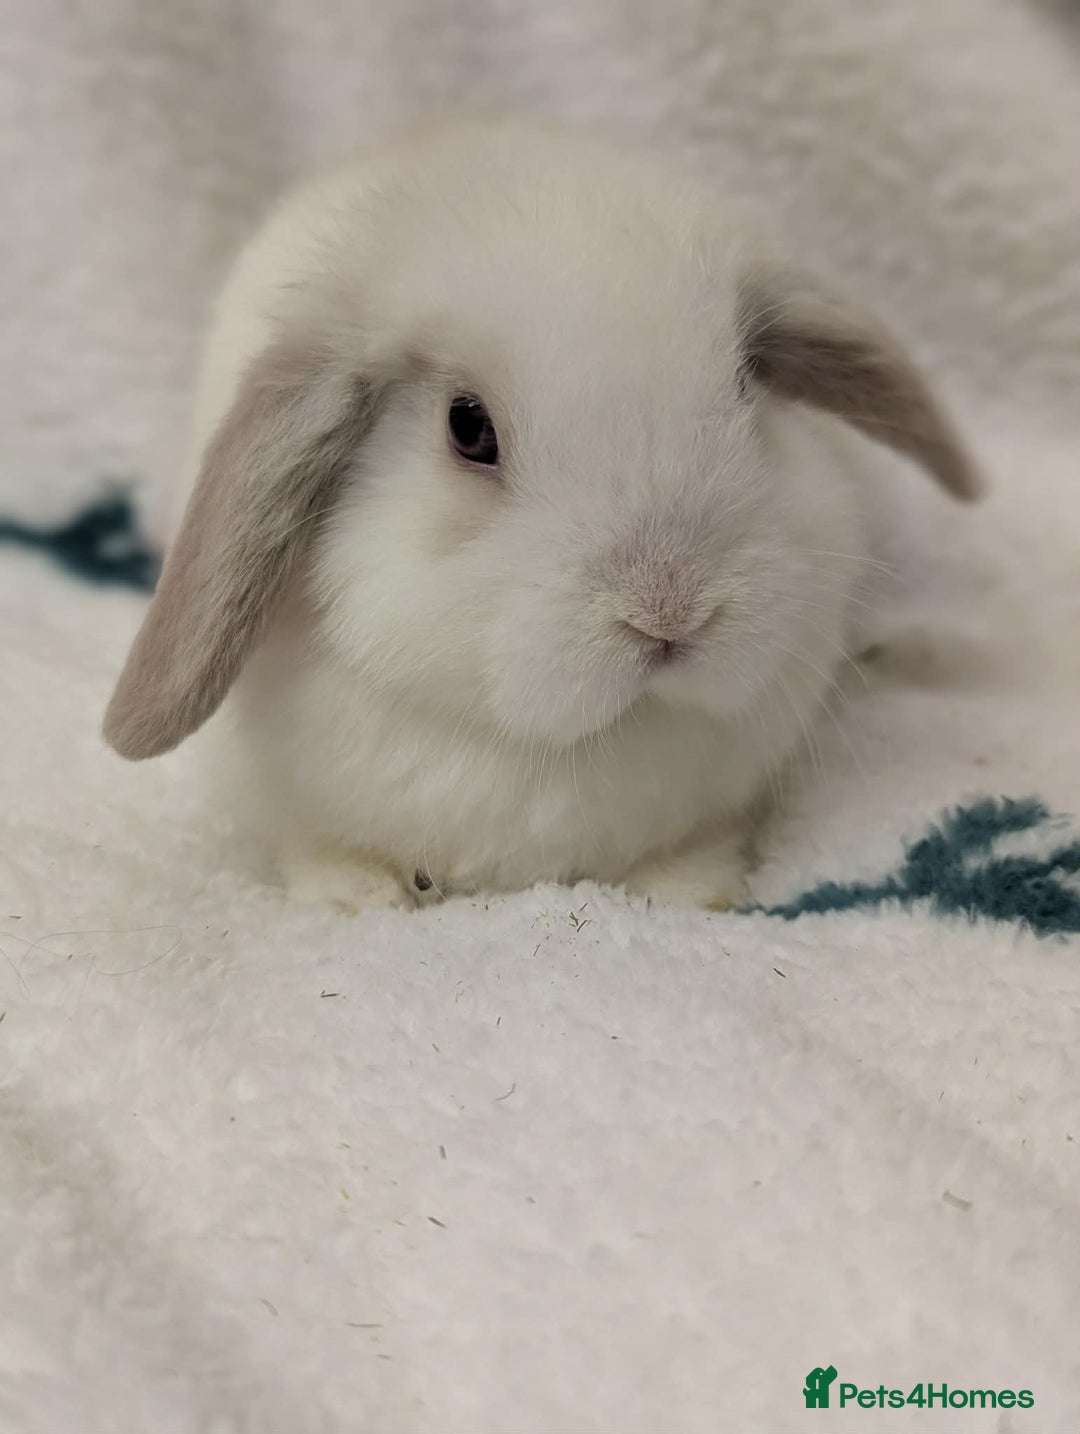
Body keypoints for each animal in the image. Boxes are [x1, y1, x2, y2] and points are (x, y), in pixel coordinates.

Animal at [103, 123, 981, 914]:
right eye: (468, 427)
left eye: (743, 385)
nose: (671, 613)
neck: (554, 752)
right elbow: (318, 850)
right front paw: (358, 898)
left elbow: (696, 852)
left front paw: (689, 893)